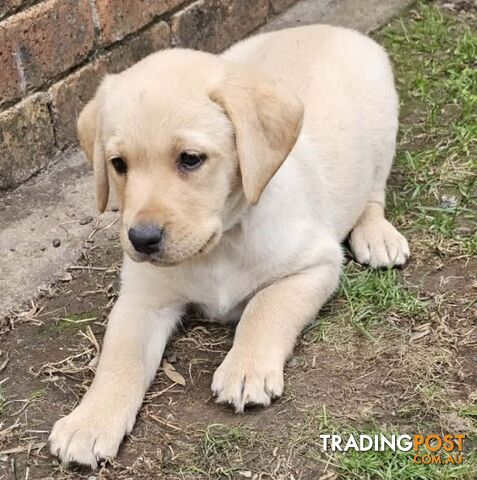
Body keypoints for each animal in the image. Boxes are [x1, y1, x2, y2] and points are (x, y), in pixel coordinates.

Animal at [51, 24, 410, 466]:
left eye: (190, 158)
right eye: (118, 164)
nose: (141, 239)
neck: (220, 244)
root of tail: (329, 27)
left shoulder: (317, 265)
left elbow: (265, 307)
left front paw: (246, 369)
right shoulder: (142, 298)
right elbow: (120, 356)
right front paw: (89, 421)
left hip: (383, 128)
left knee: (374, 192)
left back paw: (377, 235)